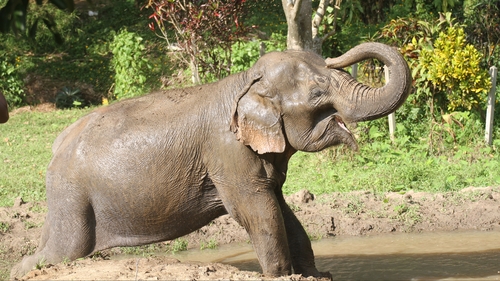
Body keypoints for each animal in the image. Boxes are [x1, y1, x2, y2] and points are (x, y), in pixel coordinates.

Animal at [10, 41, 410, 278]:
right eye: (316, 94)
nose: (335, 53)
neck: (246, 81)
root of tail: (56, 147)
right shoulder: (228, 152)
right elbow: (259, 211)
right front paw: (282, 275)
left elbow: (281, 209)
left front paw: (314, 274)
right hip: (72, 195)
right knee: (66, 250)